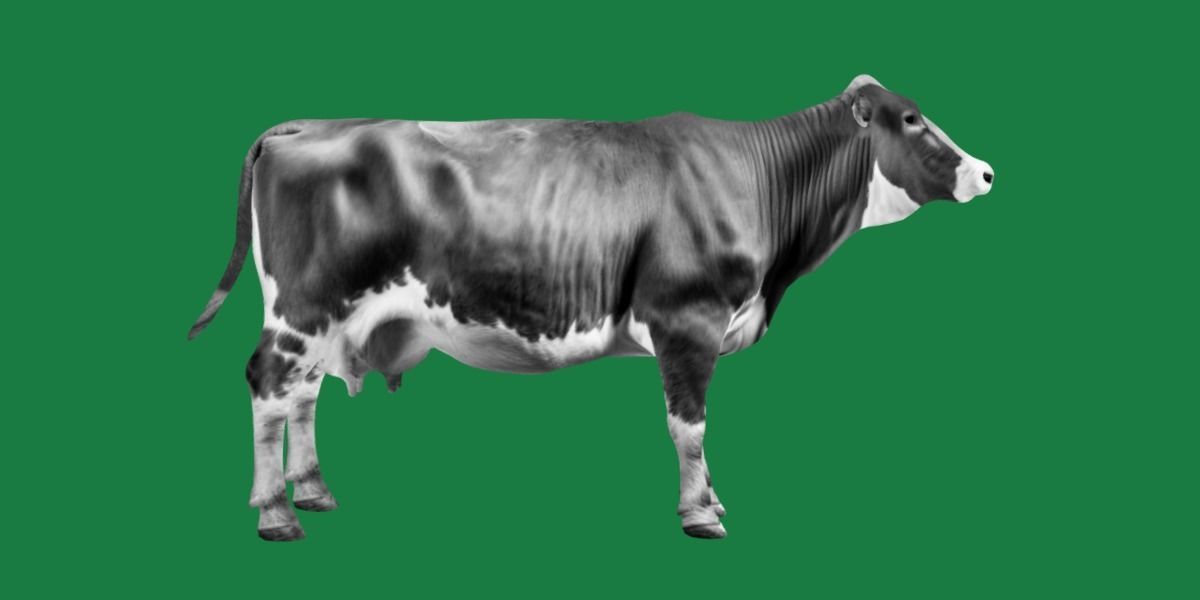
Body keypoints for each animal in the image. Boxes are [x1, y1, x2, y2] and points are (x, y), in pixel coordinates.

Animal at [189, 75, 993, 541]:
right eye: (912, 119)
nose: (985, 171)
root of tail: (306, 125)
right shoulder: (687, 319)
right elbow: (689, 426)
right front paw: (700, 512)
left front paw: (712, 502)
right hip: (304, 307)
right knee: (268, 383)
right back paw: (275, 512)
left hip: (323, 318)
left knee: (301, 394)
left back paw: (313, 492)